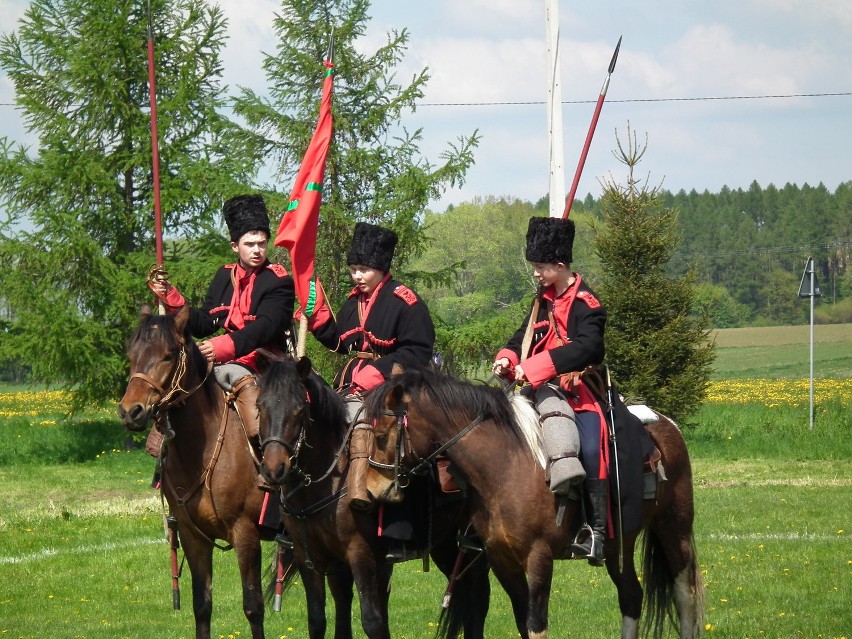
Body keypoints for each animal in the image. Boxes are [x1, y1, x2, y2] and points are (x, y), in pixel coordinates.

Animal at [115, 306, 276, 639]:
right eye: (131, 355)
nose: (130, 411)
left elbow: (253, 607)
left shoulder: (246, 534)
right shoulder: (193, 537)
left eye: (168, 355)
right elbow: (201, 605)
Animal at [256, 356, 490, 639]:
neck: (328, 480)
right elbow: (320, 619)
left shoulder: (361, 554)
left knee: (478, 595)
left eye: (300, 410)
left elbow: (372, 621)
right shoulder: (309, 557)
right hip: (443, 542)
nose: (273, 469)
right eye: (260, 406)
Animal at [362, 370, 704, 639]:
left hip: (673, 528)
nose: (373, 489)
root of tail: (666, 424)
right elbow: (522, 621)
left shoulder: (539, 557)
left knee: (684, 593)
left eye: (381, 435)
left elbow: (536, 624)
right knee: (632, 595)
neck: (507, 465)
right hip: (618, 543)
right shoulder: (502, 560)